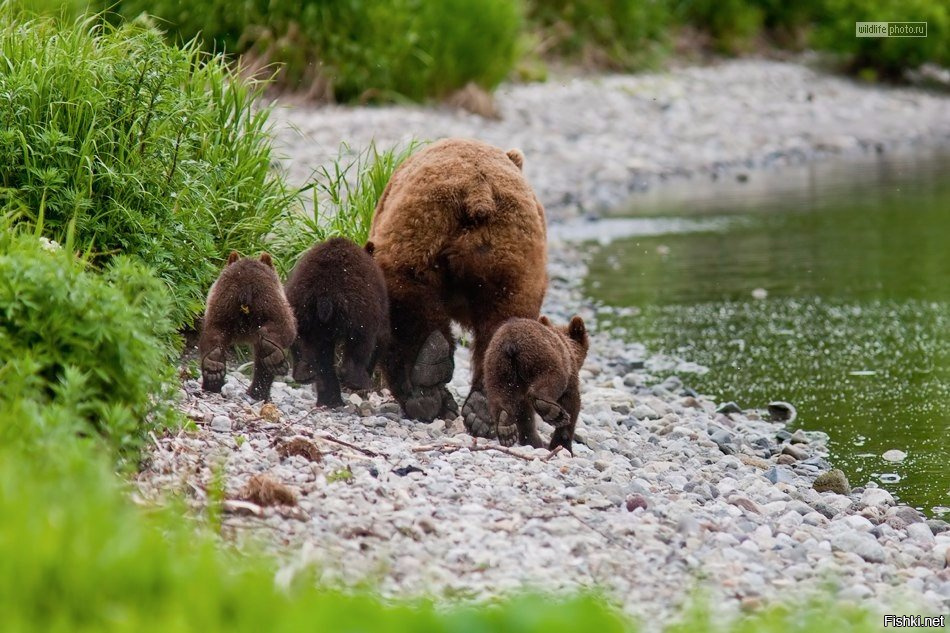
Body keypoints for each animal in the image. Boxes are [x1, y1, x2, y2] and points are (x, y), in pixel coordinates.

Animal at [372, 138, 552, 432]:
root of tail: (478, 191)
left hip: (417, 231)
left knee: (405, 298)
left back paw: (425, 390)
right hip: (514, 256)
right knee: (506, 317)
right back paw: (482, 408)